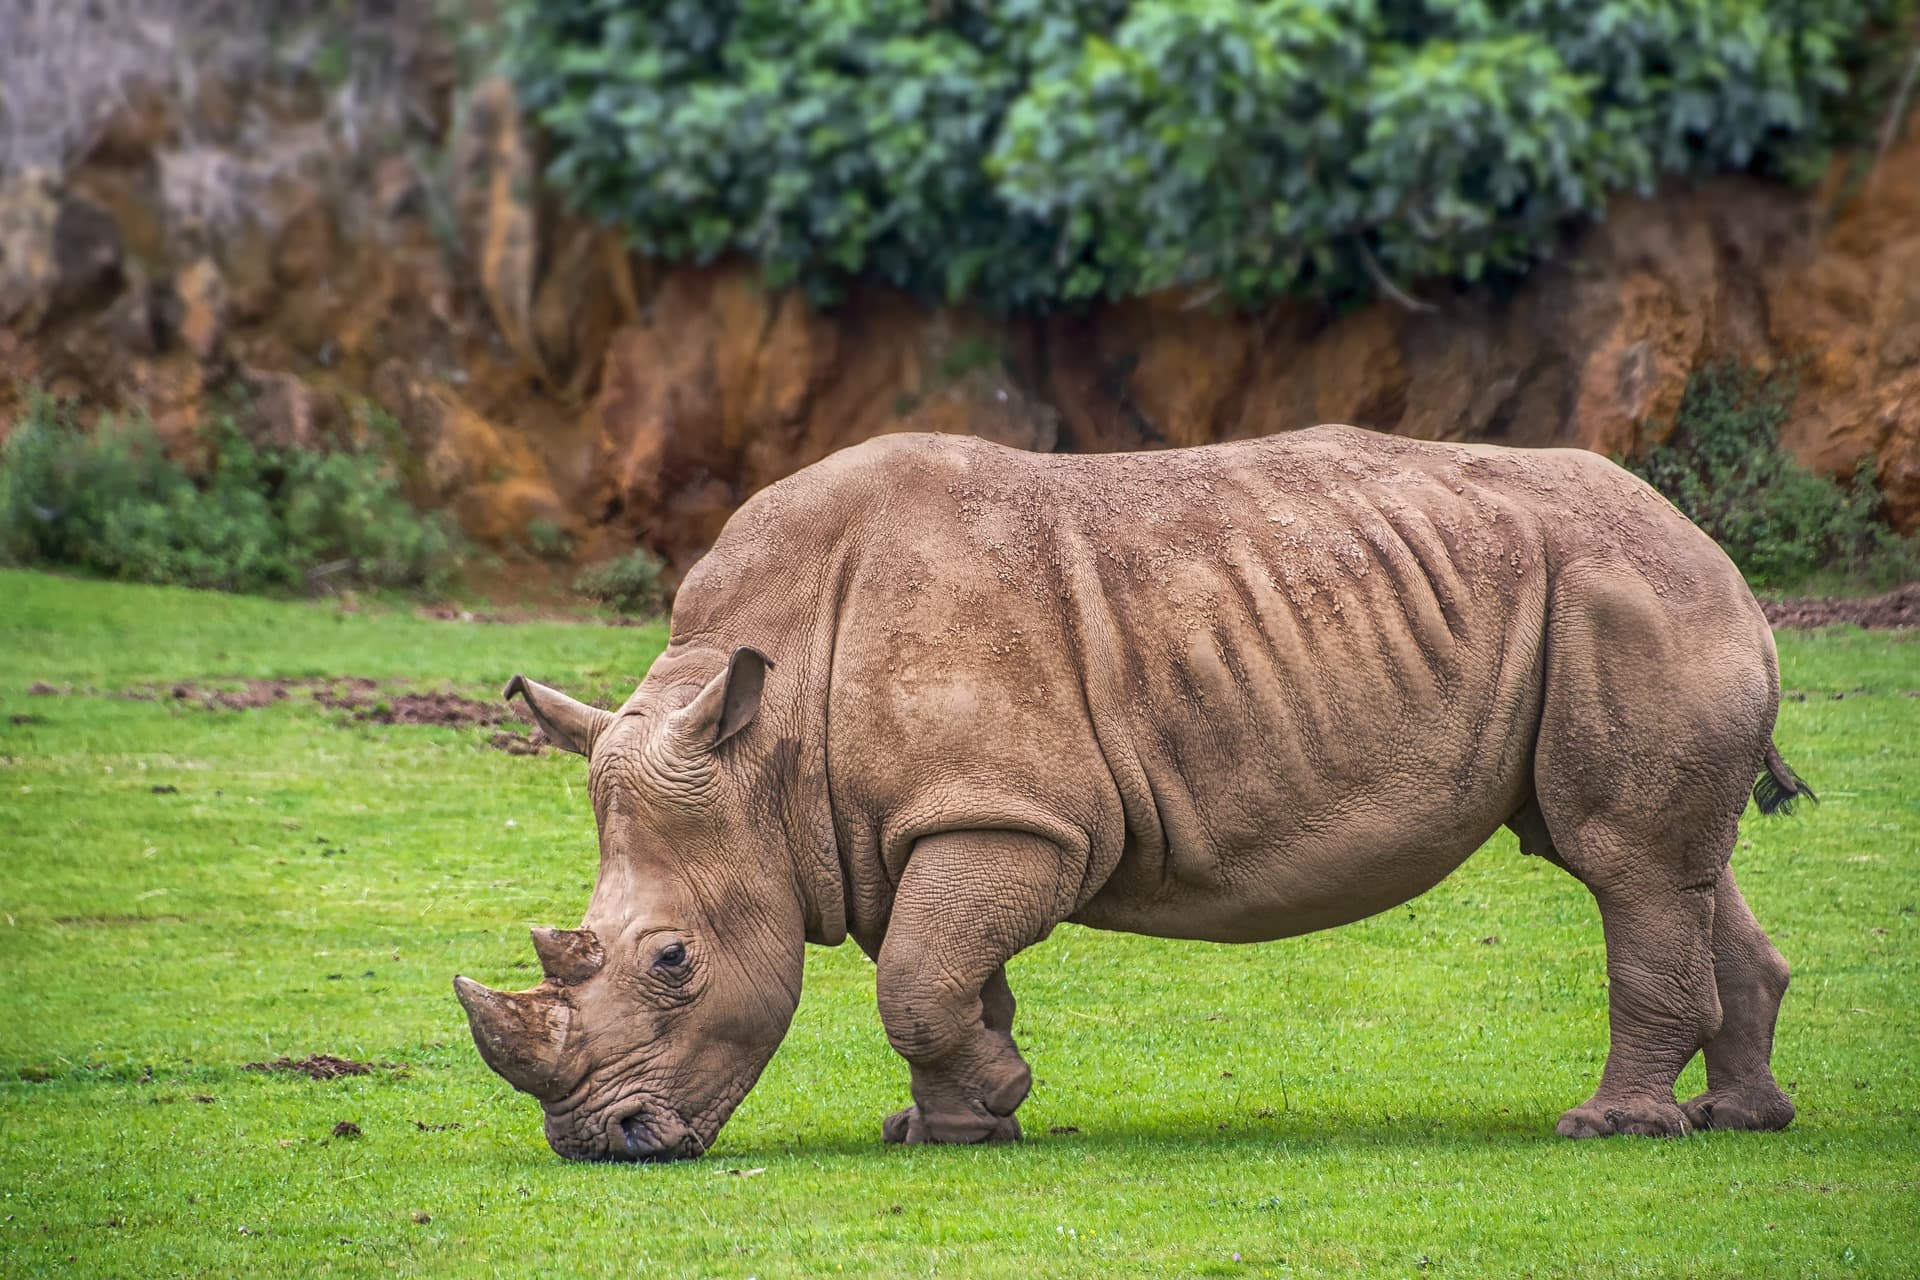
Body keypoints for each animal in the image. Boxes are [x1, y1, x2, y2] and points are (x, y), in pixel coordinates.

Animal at [454, 426, 1812, 1161]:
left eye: (672, 959)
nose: (600, 1141)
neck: (764, 746)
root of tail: (1710, 546)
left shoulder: (1010, 811)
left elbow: (920, 980)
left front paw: (992, 1099)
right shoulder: (916, 821)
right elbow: (944, 973)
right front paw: (954, 1127)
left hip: (1627, 592)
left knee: (1622, 858)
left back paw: (1611, 1128)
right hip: (1617, 598)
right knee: (1668, 864)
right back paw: (1739, 1118)